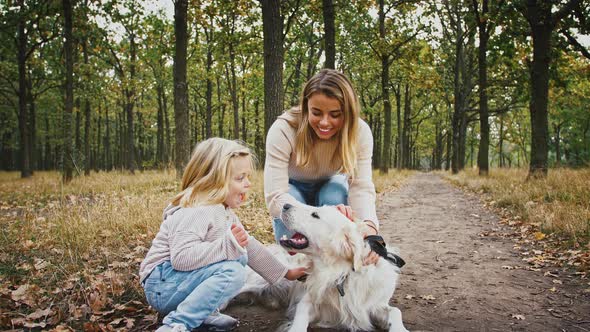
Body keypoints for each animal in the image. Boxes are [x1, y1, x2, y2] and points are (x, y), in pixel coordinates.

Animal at [236, 204, 412, 330]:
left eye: (315, 215)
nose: (285, 205)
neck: (339, 275)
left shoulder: (374, 306)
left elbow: (396, 312)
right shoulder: (307, 301)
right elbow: (300, 318)